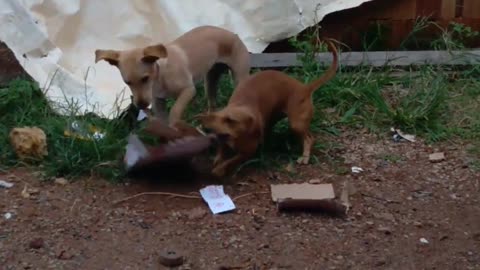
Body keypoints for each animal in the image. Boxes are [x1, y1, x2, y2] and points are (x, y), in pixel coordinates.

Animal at [94, 25, 251, 125]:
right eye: (127, 83)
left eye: (145, 78)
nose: (141, 105)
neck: (160, 76)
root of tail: (234, 34)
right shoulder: (158, 102)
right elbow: (163, 122)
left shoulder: (189, 90)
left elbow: (175, 110)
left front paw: (175, 124)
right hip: (210, 80)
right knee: (212, 103)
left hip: (239, 78)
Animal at [197, 38, 340, 177]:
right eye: (215, 115)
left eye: (230, 120)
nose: (202, 123)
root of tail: (304, 88)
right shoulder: (224, 141)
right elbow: (221, 154)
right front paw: (217, 162)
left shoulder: (247, 152)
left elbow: (231, 161)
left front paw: (220, 169)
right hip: (275, 119)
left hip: (296, 124)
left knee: (309, 138)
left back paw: (304, 156)